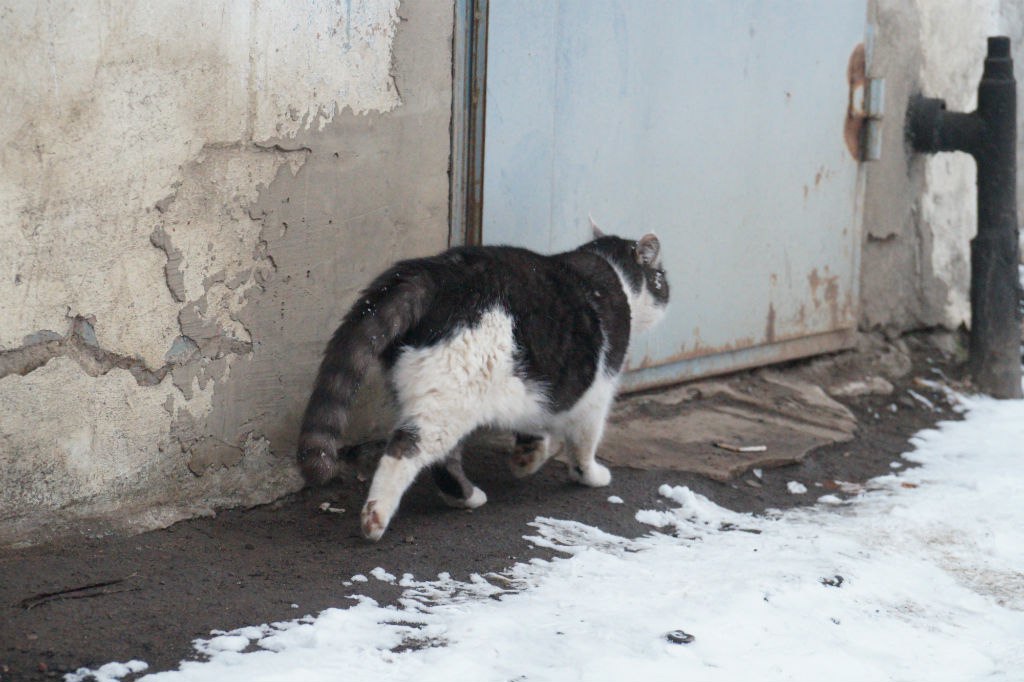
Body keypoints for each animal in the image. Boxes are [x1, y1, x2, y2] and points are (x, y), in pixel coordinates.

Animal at [294, 225, 671, 540]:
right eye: (661, 277)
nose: (668, 291)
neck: (613, 274)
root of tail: (432, 273)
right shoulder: (597, 392)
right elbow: (584, 442)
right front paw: (589, 475)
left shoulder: (539, 383)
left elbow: (534, 427)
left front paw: (527, 458)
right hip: (452, 396)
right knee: (407, 449)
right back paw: (376, 518)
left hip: (442, 394)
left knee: (442, 459)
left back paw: (467, 497)